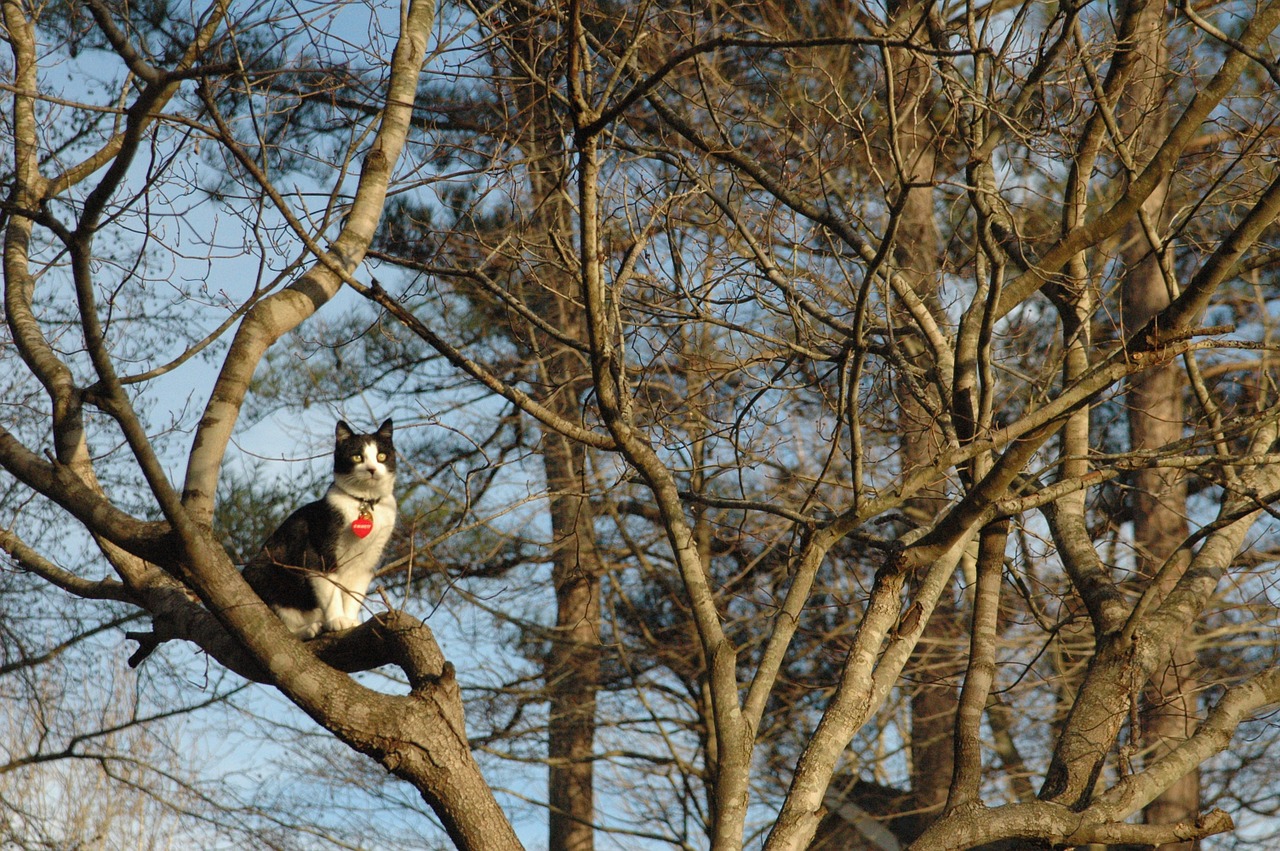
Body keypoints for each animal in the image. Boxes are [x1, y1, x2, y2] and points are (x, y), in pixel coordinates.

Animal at [241, 414, 394, 639]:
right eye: (357, 457)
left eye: (381, 456)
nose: (372, 469)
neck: (363, 502)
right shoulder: (318, 554)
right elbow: (330, 590)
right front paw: (337, 619)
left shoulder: (366, 563)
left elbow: (354, 594)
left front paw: (350, 621)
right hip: (265, 573)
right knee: (285, 623)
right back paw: (311, 628)